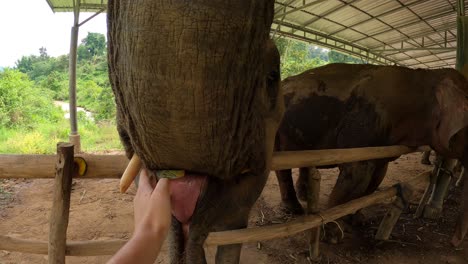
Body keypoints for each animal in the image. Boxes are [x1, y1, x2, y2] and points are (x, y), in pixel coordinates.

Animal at [274, 64, 468, 245]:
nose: (454, 243)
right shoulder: (363, 126)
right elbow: (356, 176)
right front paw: (333, 236)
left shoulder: (383, 147)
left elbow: (375, 179)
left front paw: (357, 221)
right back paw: (294, 209)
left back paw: (304, 196)